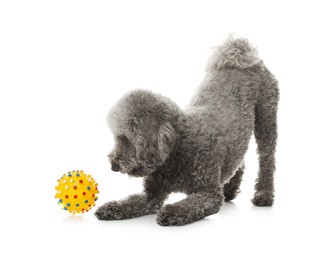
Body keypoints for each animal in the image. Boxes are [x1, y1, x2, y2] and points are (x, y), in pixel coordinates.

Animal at [94, 36, 278, 225]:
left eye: (126, 138)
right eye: (117, 137)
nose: (113, 166)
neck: (178, 150)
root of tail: (239, 51)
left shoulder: (208, 193)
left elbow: (189, 205)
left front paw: (172, 212)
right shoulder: (151, 195)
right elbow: (131, 202)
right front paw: (111, 207)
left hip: (267, 118)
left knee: (267, 160)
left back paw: (264, 195)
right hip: (238, 136)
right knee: (239, 159)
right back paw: (229, 189)